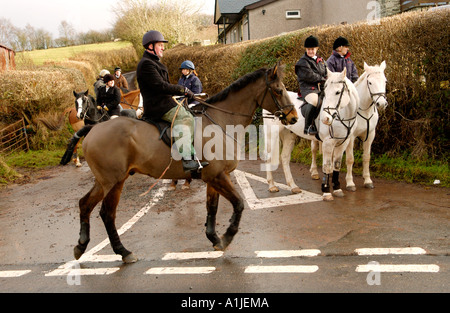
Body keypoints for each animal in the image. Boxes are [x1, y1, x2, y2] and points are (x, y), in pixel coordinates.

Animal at [74, 62, 298, 262]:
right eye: (279, 90)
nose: (294, 118)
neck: (219, 121)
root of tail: (93, 129)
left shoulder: (213, 178)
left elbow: (212, 208)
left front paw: (214, 238)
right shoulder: (218, 176)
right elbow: (239, 204)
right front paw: (227, 237)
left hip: (105, 182)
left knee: (85, 204)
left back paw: (82, 245)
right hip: (113, 182)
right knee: (107, 214)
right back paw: (123, 251)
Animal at [264, 68, 358, 200]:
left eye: (338, 92)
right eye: (325, 92)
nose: (325, 119)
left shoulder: (343, 143)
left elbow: (337, 165)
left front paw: (337, 189)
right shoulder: (328, 143)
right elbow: (327, 166)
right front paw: (326, 191)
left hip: (289, 136)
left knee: (285, 158)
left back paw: (293, 186)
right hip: (271, 135)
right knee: (268, 156)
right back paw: (272, 185)